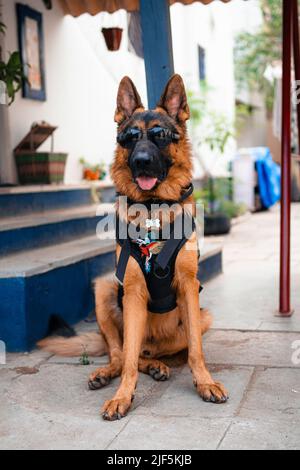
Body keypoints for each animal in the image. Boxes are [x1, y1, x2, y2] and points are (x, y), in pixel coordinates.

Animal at [38, 75, 229, 420]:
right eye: (128, 138)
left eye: (159, 135)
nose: (141, 161)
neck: (153, 209)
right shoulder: (134, 292)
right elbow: (126, 359)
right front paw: (122, 396)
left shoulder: (188, 286)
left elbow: (195, 350)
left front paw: (205, 382)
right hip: (104, 291)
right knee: (121, 352)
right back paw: (114, 372)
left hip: (203, 315)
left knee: (156, 350)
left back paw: (156, 365)